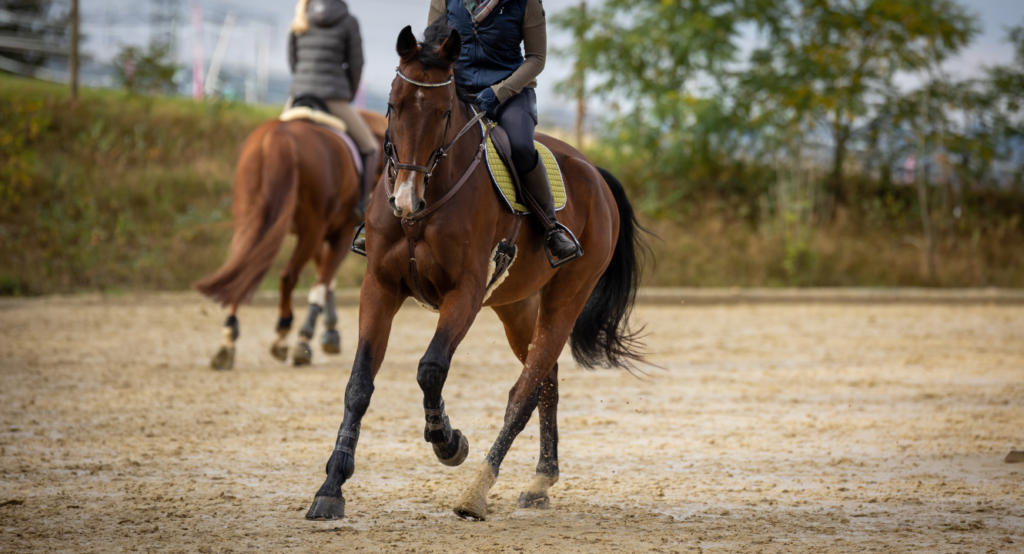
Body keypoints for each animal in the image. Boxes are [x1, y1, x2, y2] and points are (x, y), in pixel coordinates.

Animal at [194, 110, 387, 370]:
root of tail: (280, 134)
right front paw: (308, 338)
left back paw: (228, 341)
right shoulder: (340, 232)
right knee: (288, 276)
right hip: (312, 228)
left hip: (251, 218)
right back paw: (286, 337)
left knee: (243, 271)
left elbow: (325, 277)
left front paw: (330, 332)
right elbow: (324, 279)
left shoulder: (319, 234)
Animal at [304, 23, 648, 522]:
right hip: (518, 307)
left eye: (445, 112)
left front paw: (448, 441)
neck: (427, 205)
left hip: (566, 298)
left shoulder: (464, 293)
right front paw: (332, 486)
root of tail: (594, 172)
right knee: (546, 380)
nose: (404, 199)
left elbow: (431, 369)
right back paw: (541, 479)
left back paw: (477, 491)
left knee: (524, 393)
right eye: (393, 103)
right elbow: (359, 385)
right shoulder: (380, 288)